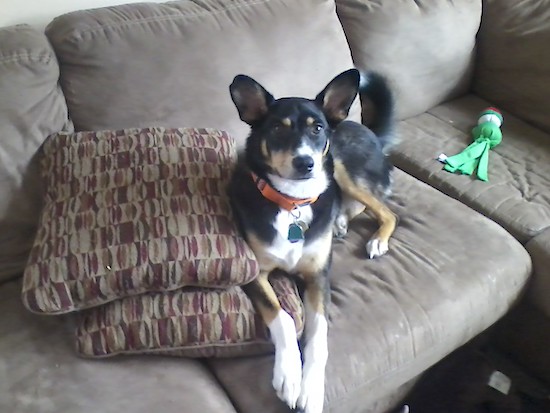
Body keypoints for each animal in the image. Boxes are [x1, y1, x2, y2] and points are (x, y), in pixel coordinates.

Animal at [227, 68, 396, 412]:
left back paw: (374, 238)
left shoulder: (319, 277)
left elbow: (319, 337)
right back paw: (341, 223)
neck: (292, 202)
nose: (305, 163)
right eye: (277, 128)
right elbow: (283, 317)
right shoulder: (256, 274)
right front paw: (289, 376)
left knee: (384, 210)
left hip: (339, 167)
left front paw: (311, 390)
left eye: (317, 128)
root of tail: (367, 129)